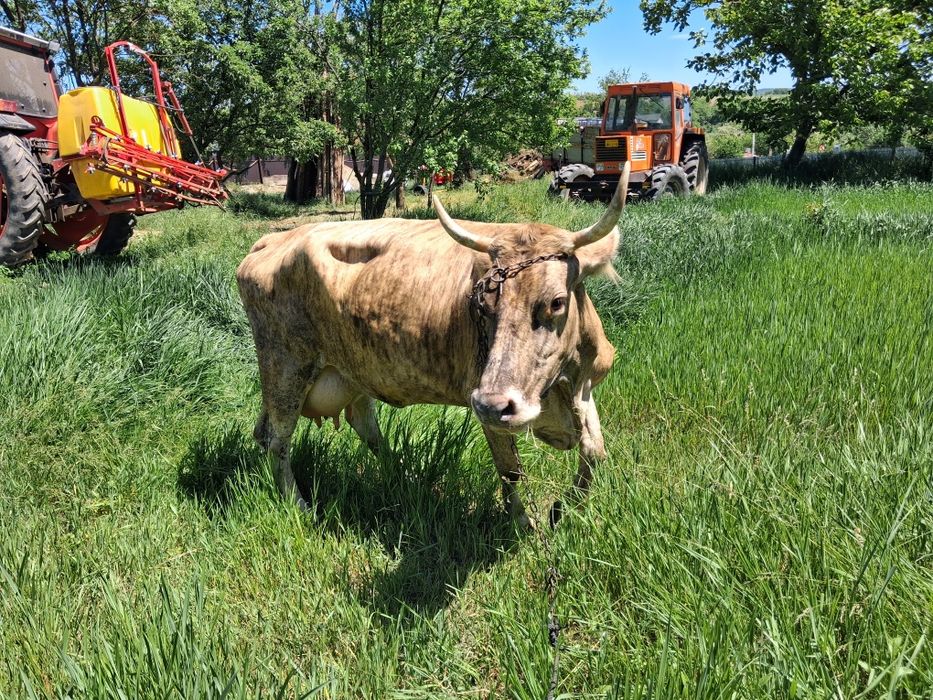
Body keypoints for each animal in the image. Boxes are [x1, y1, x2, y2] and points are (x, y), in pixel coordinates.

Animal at [236, 165, 630, 528]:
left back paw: (403, 477)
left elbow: (595, 452)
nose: (492, 404)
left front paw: (563, 511)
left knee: (361, 425)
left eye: (557, 302)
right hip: (285, 366)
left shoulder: (584, 384)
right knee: (276, 439)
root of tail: (273, 240)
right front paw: (523, 523)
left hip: (352, 369)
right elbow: (510, 471)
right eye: (483, 305)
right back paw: (300, 506)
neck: (559, 387)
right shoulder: (486, 401)